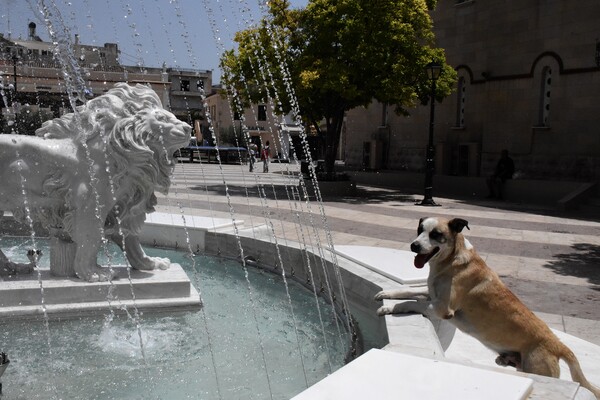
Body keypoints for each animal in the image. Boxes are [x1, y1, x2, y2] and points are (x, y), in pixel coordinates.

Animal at [376, 217, 600, 398]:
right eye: (419, 229)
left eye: (436, 234)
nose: (413, 246)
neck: (451, 260)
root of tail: (558, 344)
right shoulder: (431, 294)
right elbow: (407, 292)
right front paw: (386, 294)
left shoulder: (441, 308)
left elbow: (410, 303)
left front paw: (388, 309)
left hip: (537, 368)